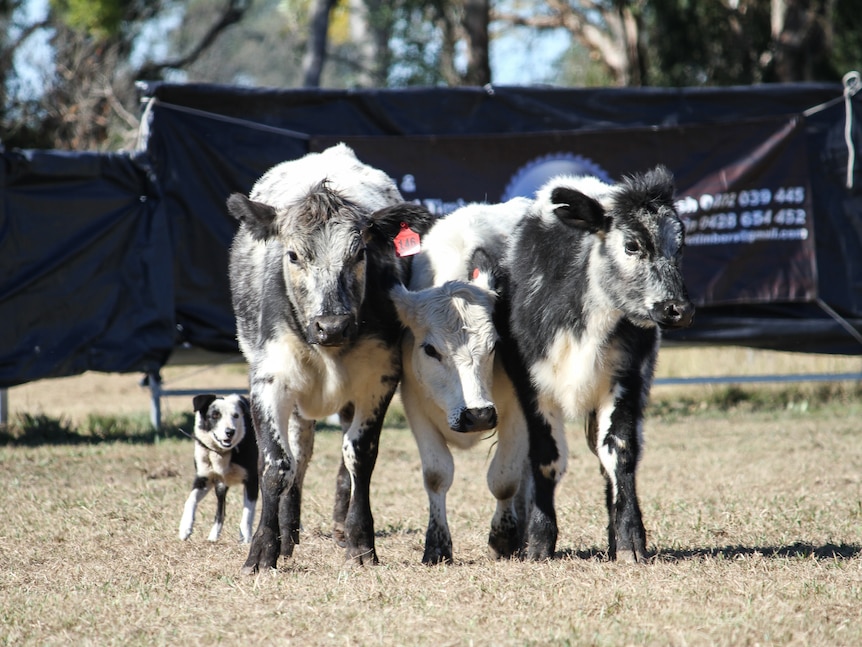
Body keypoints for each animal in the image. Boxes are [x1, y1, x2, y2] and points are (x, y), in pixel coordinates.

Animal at [176, 392, 256, 544]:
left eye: (236, 415)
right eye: (215, 415)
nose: (230, 432)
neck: (221, 452)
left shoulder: (251, 481)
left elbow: (248, 514)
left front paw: (246, 539)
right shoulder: (204, 479)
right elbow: (190, 500)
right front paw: (185, 528)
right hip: (220, 486)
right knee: (220, 512)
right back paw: (212, 537)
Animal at [228, 143, 436, 572]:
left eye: (359, 254)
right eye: (293, 255)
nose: (333, 325)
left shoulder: (379, 379)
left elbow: (360, 456)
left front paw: (361, 542)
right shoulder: (269, 380)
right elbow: (276, 463)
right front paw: (263, 549)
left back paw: (339, 527)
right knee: (300, 453)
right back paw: (288, 532)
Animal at [492, 167, 696, 560]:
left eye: (679, 247)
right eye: (632, 245)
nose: (678, 309)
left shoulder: (627, 380)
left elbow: (619, 453)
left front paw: (630, 539)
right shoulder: (532, 386)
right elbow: (546, 458)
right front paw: (539, 541)